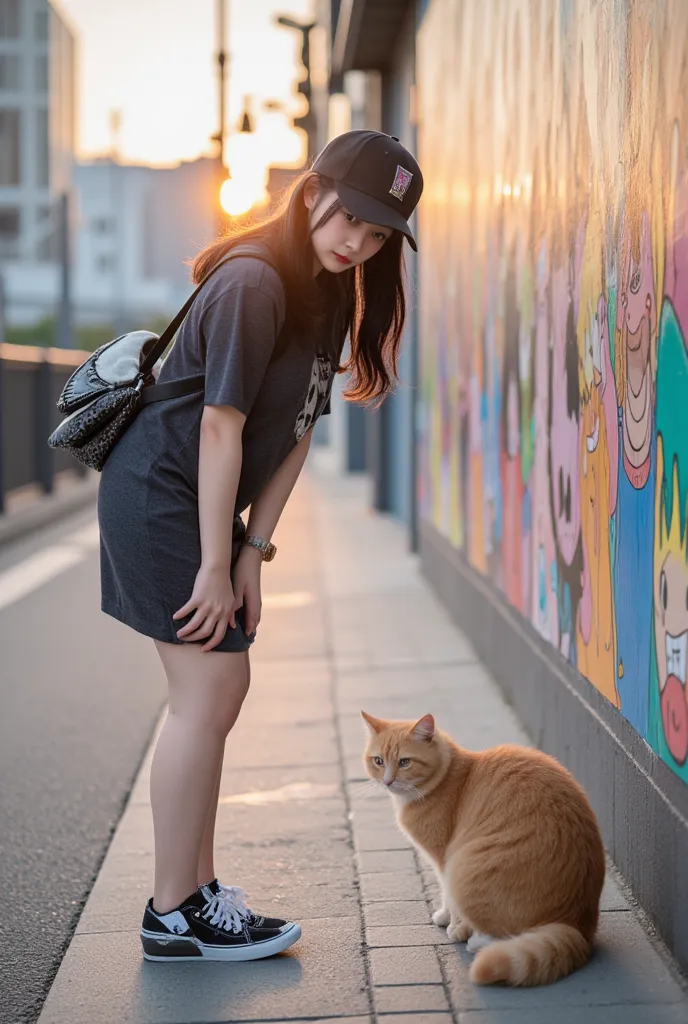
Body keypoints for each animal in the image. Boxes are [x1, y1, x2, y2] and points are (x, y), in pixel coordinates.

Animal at [362, 712, 606, 983]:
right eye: (378, 761)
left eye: (404, 762)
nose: (388, 781)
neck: (447, 777)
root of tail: (579, 926)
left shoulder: (444, 858)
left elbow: (448, 895)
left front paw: (452, 923)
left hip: (462, 865)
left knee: (504, 934)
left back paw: (477, 941)